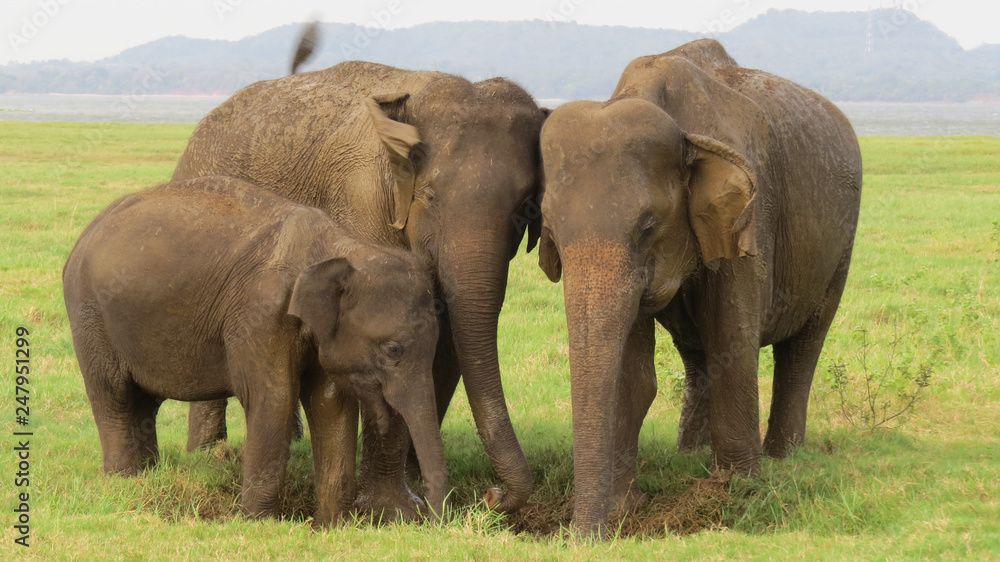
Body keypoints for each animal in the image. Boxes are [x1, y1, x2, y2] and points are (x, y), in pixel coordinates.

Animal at [62, 176, 448, 524]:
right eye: (393, 349)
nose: (432, 519)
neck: (338, 247)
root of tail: (87, 232)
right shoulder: (260, 315)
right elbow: (275, 398)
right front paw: (258, 522)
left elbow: (331, 403)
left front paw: (331, 525)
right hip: (88, 313)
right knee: (113, 394)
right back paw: (123, 481)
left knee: (143, 400)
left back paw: (149, 475)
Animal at [171, 60, 547, 516]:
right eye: (429, 196)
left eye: (527, 206)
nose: (491, 496)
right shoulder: (361, 199)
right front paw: (394, 510)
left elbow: (447, 343)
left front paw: (412, 481)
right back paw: (212, 456)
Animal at [536, 39, 862, 534]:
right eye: (550, 230)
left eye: (648, 226)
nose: (580, 537)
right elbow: (634, 374)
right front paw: (624, 508)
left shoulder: (747, 220)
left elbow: (733, 342)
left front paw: (738, 493)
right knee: (697, 353)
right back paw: (688, 454)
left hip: (839, 246)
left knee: (803, 346)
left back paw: (782, 457)